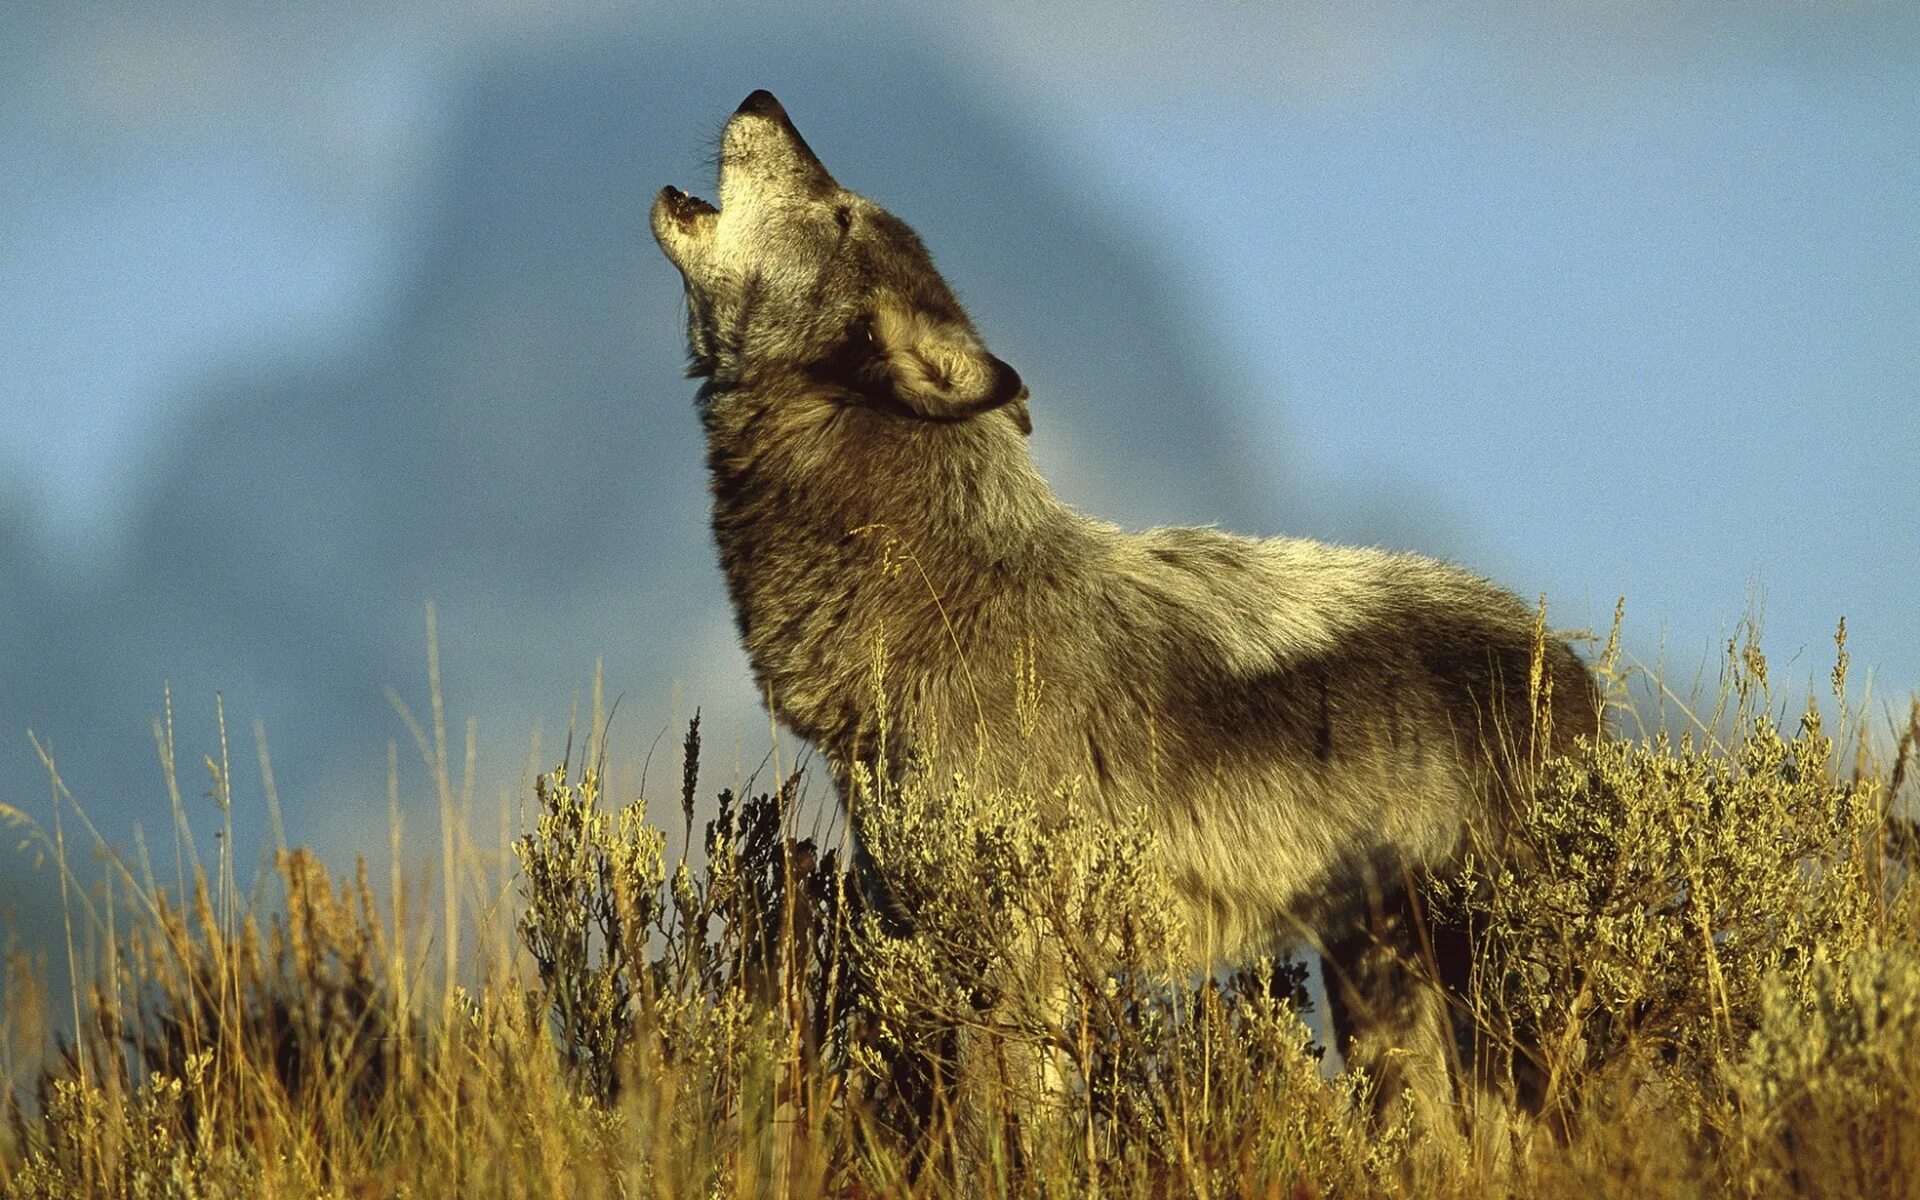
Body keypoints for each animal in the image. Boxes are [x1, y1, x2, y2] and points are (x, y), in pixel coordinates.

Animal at [648, 91, 1605, 1128]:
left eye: (840, 215)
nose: (762, 99)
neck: (943, 594)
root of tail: (1576, 674)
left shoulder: (1016, 950)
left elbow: (1005, 1129)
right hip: (1384, 994)